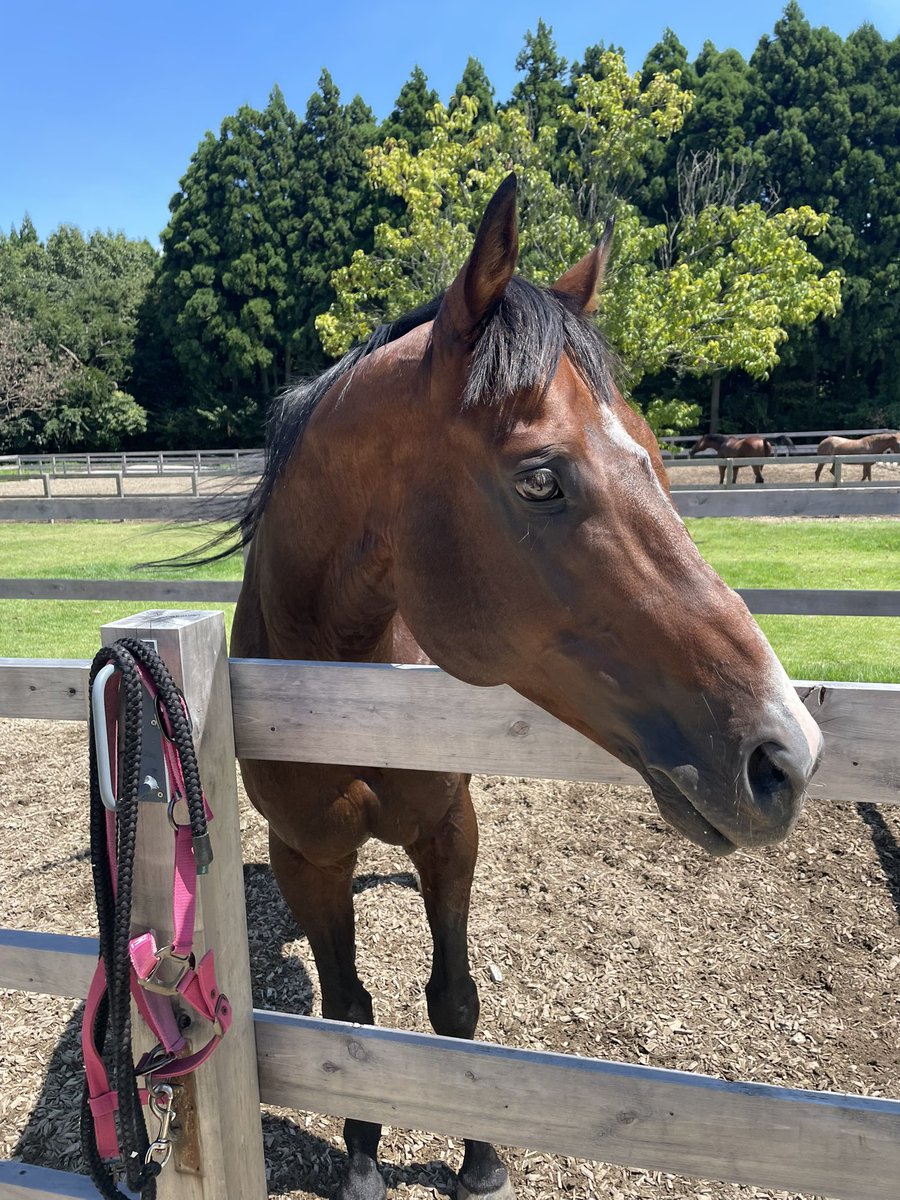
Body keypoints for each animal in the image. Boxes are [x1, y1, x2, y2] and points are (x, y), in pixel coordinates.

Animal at [196, 176, 821, 1200]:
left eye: (656, 454)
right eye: (539, 480)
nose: (786, 756)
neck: (343, 684)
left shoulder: (452, 832)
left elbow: (454, 1005)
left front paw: (481, 1155)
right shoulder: (308, 856)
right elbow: (349, 1013)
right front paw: (363, 1158)